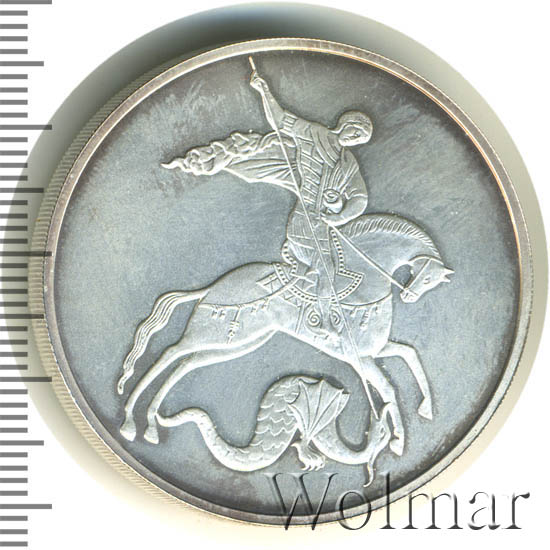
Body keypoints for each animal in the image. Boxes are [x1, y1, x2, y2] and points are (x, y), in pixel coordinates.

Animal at [117, 213, 453, 456]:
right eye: (427, 276)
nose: (410, 296)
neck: (363, 285)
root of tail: (213, 287)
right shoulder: (359, 358)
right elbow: (389, 389)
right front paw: (398, 441)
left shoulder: (374, 351)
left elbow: (409, 355)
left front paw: (425, 408)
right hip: (211, 332)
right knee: (170, 353)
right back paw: (132, 421)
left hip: (238, 342)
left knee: (187, 363)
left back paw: (148, 422)